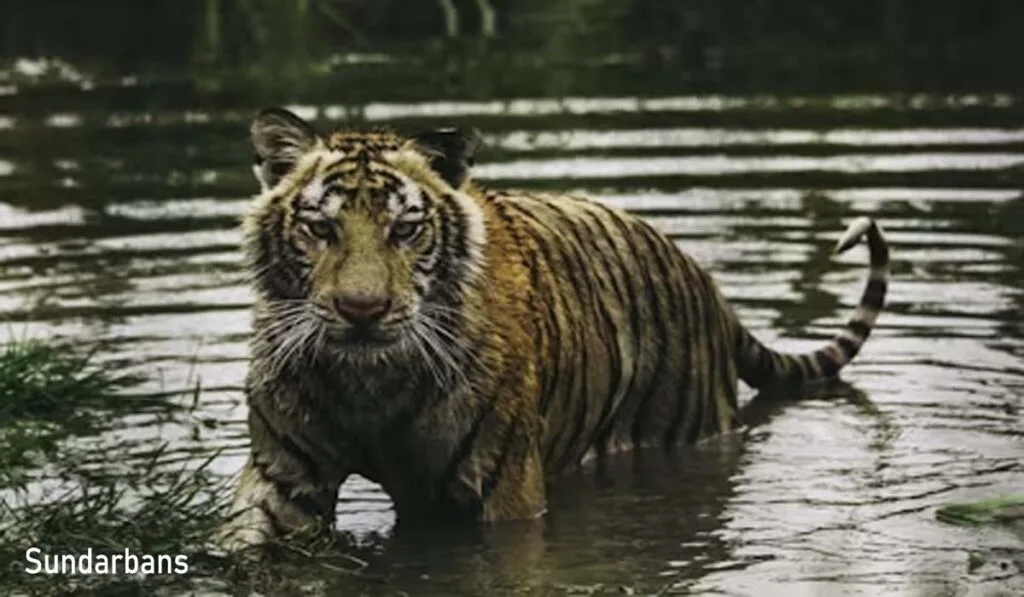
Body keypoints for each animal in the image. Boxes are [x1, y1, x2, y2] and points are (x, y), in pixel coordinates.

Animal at [218, 107, 889, 551]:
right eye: (321, 229)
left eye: (404, 230)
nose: (362, 310)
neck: (369, 383)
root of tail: (709, 285)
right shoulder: (284, 478)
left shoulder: (502, 491)